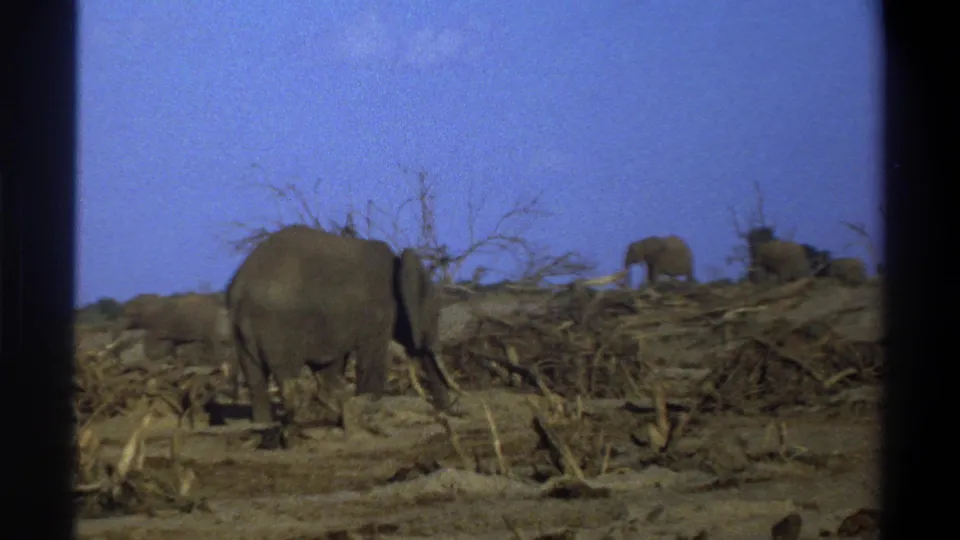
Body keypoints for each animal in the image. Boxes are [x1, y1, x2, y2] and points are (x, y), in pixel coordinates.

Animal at [225, 224, 452, 425]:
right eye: (436, 314)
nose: (445, 410)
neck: (399, 263)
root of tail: (239, 287)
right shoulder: (378, 312)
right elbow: (371, 358)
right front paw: (369, 406)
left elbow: (330, 367)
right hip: (278, 325)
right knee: (287, 375)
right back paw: (300, 420)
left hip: (240, 329)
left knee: (255, 378)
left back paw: (264, 423)